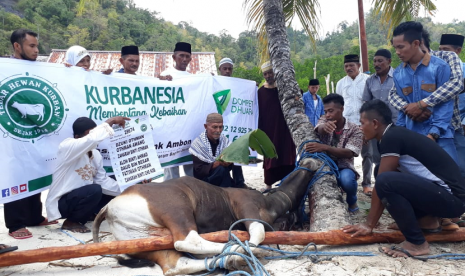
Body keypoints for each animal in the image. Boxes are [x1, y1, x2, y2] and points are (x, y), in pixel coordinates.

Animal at [94, 156, 318, 274]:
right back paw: (239, 251)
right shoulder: (245, 206)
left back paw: (230, 260)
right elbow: (258, 232)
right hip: (177, 209)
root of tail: (109, 207)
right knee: (187, 241)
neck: (272, 203)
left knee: (176, 265)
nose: (313, 161)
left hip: (148, 242)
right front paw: (249, 247)